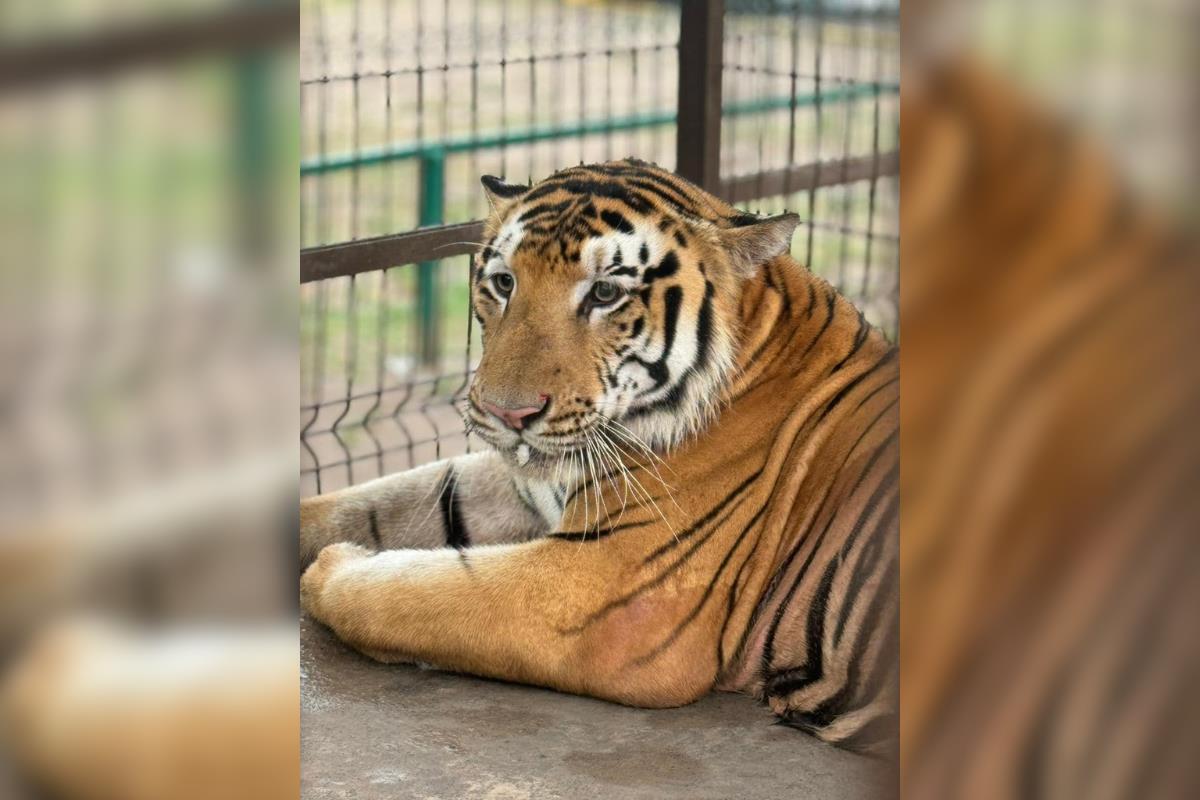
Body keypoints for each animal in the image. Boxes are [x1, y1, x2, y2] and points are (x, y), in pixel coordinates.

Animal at [300, 158, 902, 758]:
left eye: (605, 292)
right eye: (504, 282)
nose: (506, 413)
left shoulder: (608, 592)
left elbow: (405, 593)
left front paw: (333, 565)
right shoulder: (527, 486)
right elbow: (373, 503)